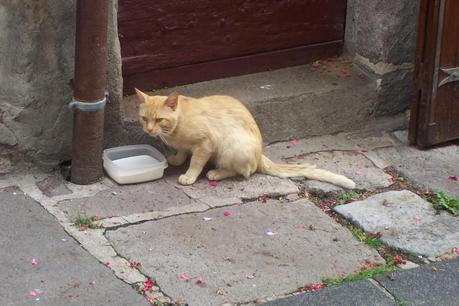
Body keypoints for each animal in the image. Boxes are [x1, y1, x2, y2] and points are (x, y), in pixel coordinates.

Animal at [135, 89, 358, 189]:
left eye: (159, 119)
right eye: (144, 118)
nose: (149, 129)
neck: (175, 128)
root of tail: (260, 154)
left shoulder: (205, 143)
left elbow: (196, 162)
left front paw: (189, 175)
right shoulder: (187, 145)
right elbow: (183, 150)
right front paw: (177, 158)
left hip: (233, 146)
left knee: (245, 171)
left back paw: (217, 172)